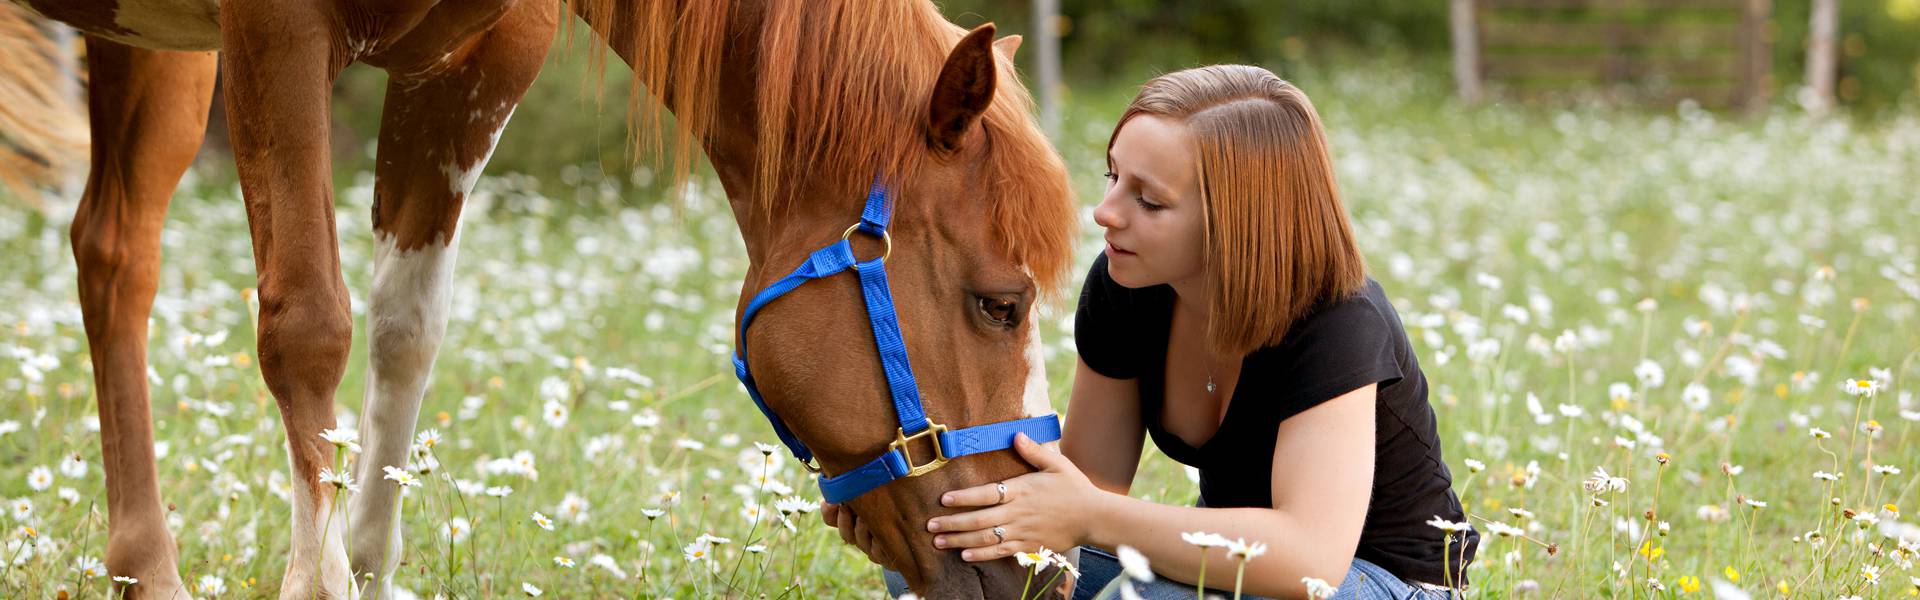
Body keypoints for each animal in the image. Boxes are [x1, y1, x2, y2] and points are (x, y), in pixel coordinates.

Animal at [0, 2, 1082, 596]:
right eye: (1001, 304)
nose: (1039, 572)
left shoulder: (475, 63)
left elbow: (405, 334)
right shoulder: (274, 29)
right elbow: (307, 326)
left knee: (115, 254)